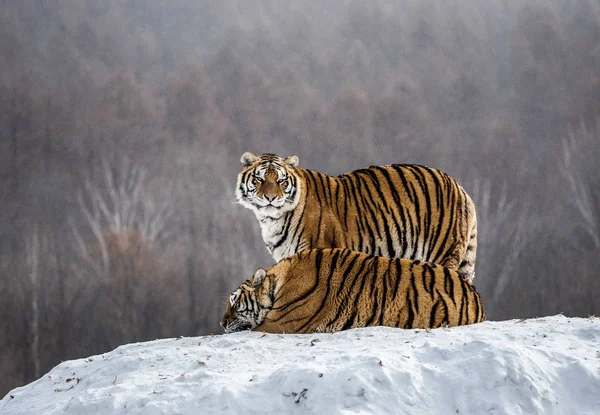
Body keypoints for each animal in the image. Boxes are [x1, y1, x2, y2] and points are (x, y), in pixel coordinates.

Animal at [237, 153, 476, 282]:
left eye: (281, 180)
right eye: (259, 179)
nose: (270, 197)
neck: (272, 220)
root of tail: (460, 187)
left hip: (442, 250)